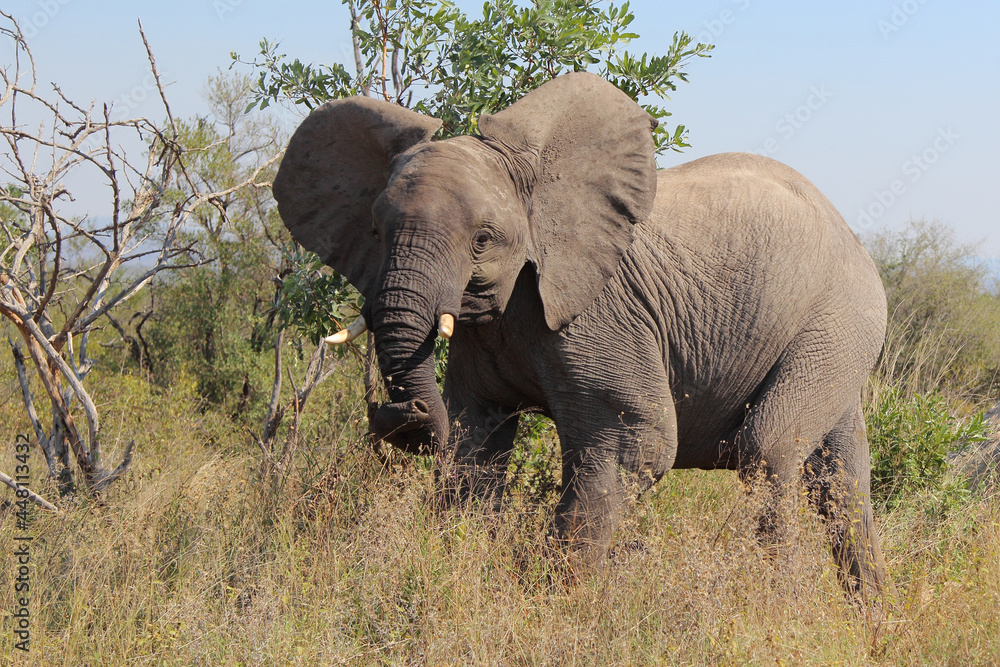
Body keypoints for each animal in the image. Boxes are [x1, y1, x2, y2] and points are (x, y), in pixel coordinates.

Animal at [272, 72, 888, 600]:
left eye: (483, 239)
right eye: (376, 230)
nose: (399, 416)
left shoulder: (598, 312)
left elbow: (631, 442)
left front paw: (549, 601)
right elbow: (476, 444)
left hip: (838, 318)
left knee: (768, 449)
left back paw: (780, 604)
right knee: (841, 476)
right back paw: (870, 618)